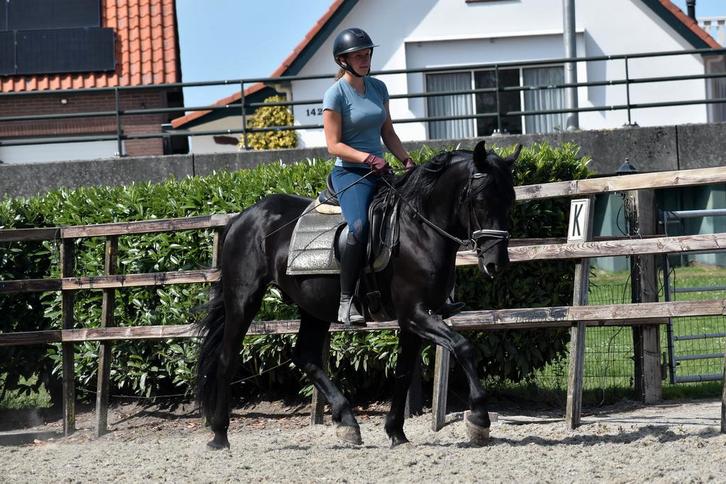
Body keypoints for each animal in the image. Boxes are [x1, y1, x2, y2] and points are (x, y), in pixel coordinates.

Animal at [196, 140, 521, 449]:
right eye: (481, 200)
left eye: (510, 200)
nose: (496, 263)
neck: (419, 230)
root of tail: (242, 217)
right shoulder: (415, 314)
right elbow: (463, 347)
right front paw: (479, 420)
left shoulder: (415, 320)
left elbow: (404, 373)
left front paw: (396, 432)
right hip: (243, 300)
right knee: (226, 359)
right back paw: (219, 435)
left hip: (312, 307)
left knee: (305, 356)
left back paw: (348, 422)